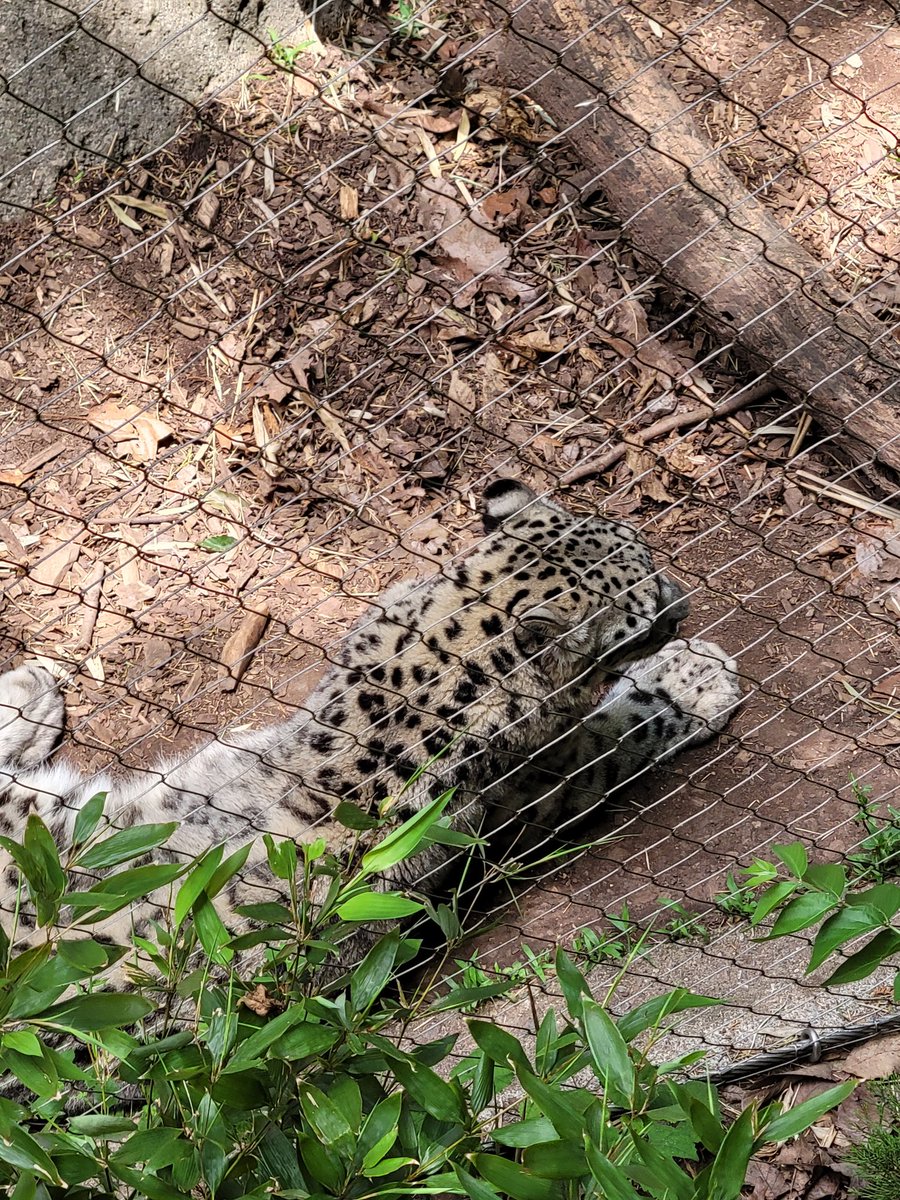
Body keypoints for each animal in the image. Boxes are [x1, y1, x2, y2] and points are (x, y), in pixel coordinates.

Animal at [0, 479, 741, 967]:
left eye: (644, 547)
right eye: (640, 619)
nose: (684, 604)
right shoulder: (546, 774)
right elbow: (625, 730)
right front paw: (696, 678)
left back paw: (33, 691)